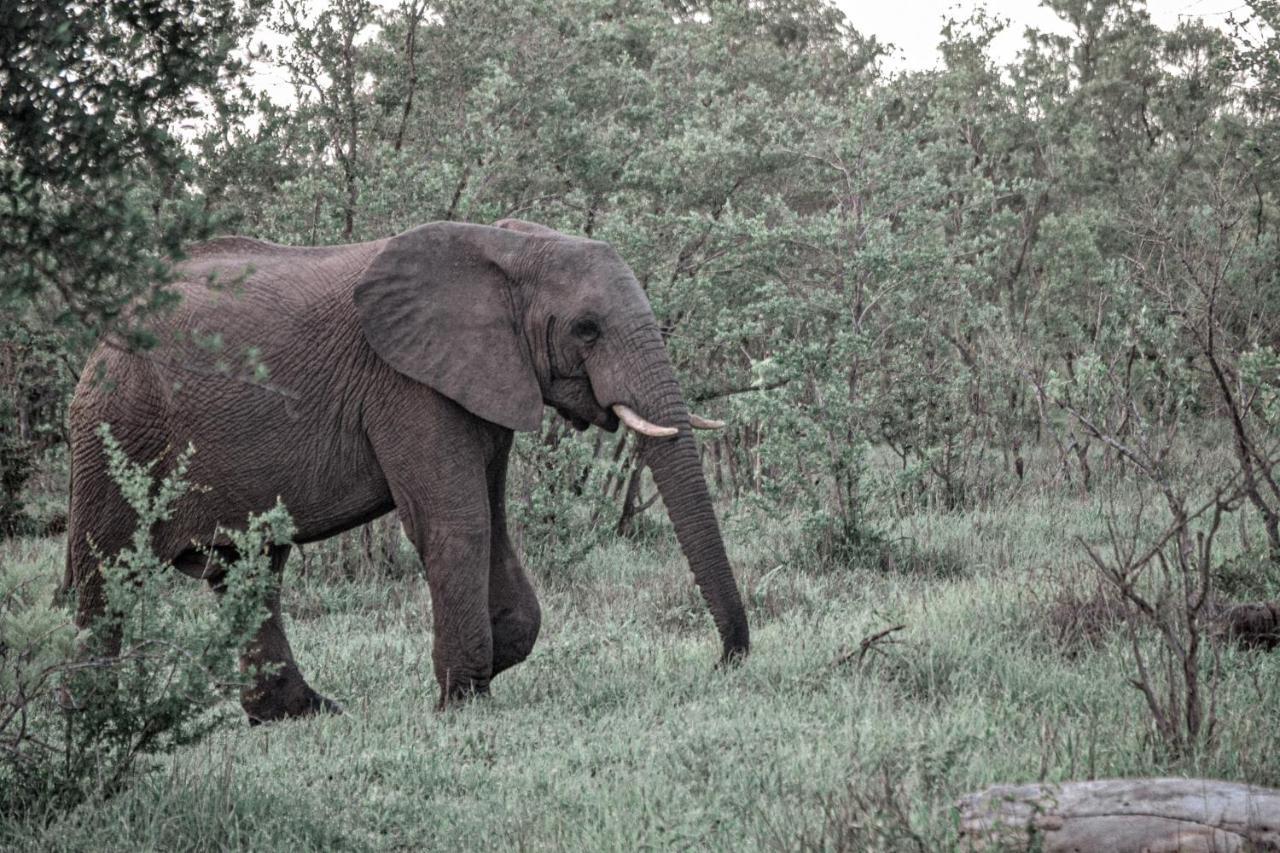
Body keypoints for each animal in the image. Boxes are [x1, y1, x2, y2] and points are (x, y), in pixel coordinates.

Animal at [64, 217, 747, 717]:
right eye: (586, 329)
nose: (723, 664)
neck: (509, 248)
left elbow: (491, 520)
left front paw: (488, 663)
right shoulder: (405, 384)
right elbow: (457, 521)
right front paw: (462, 701)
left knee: (249, 570)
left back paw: (303, 714)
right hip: (114, 429)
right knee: (106, 576)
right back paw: (95, 721)